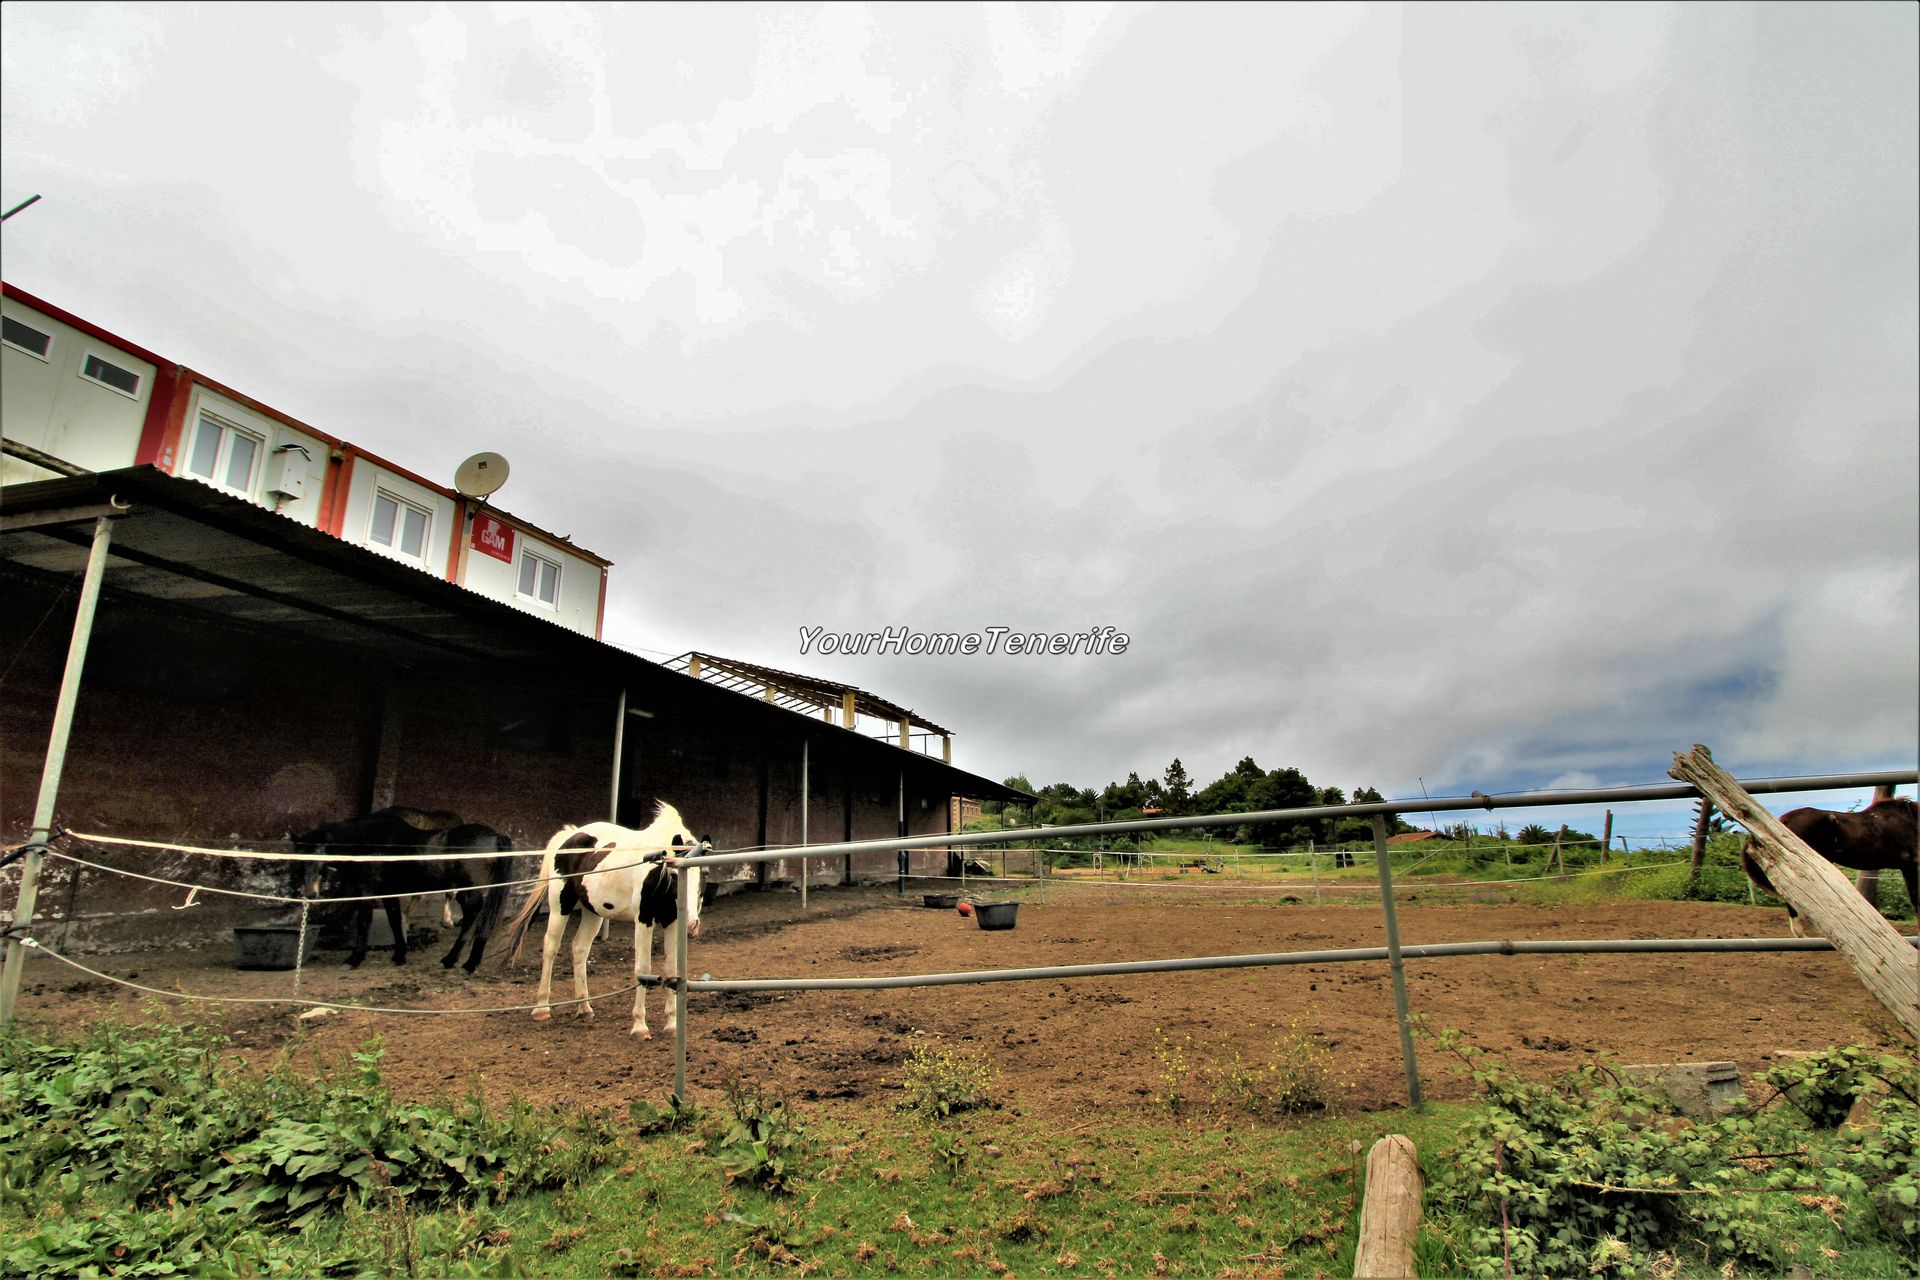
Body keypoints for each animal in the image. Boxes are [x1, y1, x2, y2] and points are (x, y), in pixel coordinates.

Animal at [291, 805, 518, 974]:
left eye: (320, 856)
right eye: (300, 860)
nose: (309, 893)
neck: (372, 841)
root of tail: (495, 836)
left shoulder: (366, 891)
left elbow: (364, 922)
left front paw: (354, 959)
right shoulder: (388, 892)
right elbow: (394, 920)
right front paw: (399, 955)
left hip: (470, 891)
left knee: (474, 916)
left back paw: (462, 962)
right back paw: (460, 961)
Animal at [495, 809, 706, 1043]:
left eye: (705, 873)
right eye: (676, 874)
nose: (692, 924)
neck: (656, 865)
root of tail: (571, 835)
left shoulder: (672, 921)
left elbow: (671, 969)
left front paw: (671, 1024)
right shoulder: (643, 920)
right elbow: (643, 969)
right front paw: (640, 1026)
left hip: (592, 912)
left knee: (579, 949)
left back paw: (584, 1008)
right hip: (560, 906)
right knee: (550, 948)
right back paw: (542, 1009)